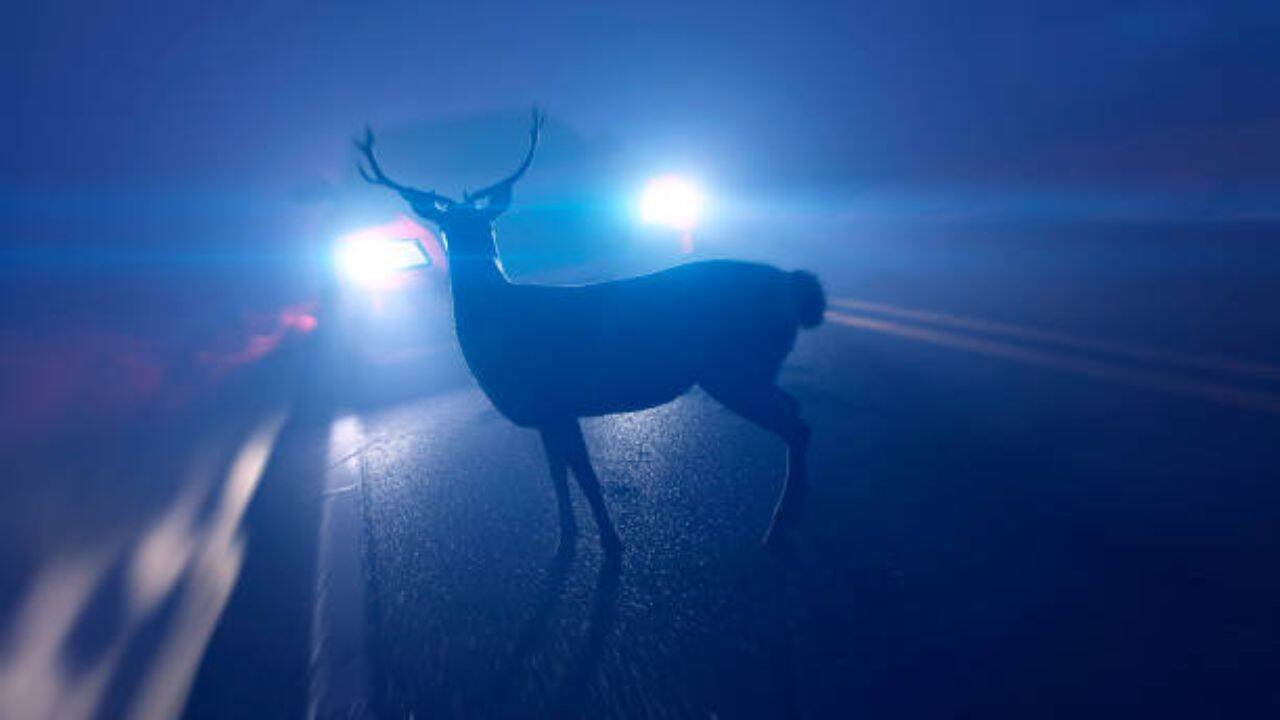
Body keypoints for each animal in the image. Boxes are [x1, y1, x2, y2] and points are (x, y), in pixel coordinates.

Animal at [355, 109, 825, 558]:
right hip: (751, 366)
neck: (499, 325)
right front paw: (565, 540)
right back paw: (796, 516)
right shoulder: (546, 413)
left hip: (733, 366)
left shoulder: (557, 402)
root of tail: (793, 285)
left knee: (796, 425)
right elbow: (557, 478)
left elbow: (586, 477)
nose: (469, 250)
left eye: (486, 224)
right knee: (797, 413)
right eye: (447, 228)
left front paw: (612, 544)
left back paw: (777, 526)